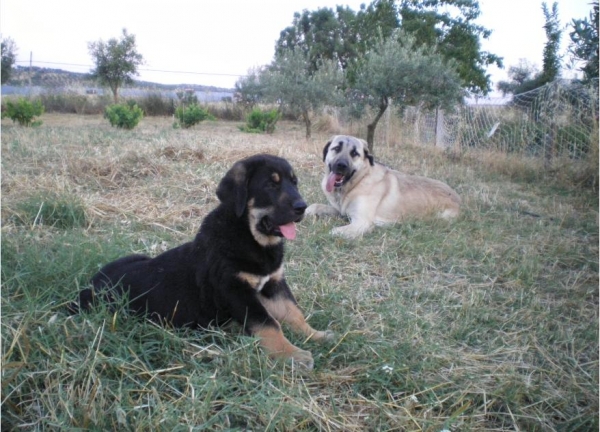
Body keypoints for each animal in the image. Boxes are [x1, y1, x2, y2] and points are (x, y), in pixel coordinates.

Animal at [74, 154, 332, 370]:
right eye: (271, 184)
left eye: (294, 183)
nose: (302, 207)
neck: (248, 235)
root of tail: (91, 283)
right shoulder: (235, 289)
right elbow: (268, 324)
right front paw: (291, 354)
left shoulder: (274, 283)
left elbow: (294, 313)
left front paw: (316, 335)